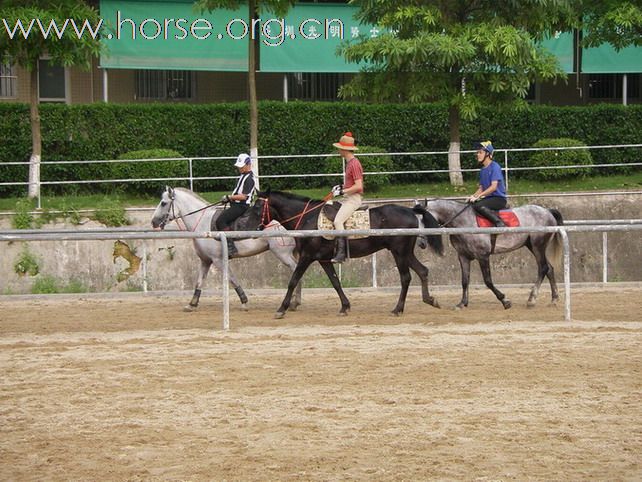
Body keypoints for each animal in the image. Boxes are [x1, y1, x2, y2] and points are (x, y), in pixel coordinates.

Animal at [151, 186, 302, 311]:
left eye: (163, 203)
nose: (153, 222)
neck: (202, 223)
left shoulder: (218, 260)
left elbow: (231, 278)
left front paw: (244, 301)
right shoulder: (205, 261)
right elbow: (199, 281)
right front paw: (192, 304)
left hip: (282, 253)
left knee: (296, 270)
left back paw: (294, 302)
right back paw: (295, 303)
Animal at [253, 190, 444, 318]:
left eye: (258, 206)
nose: (254, 229)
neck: (307, 219)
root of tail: (410, 211)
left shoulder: (307, 257)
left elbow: (293, 281)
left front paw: (281, 308)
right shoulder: (323, 259)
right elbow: (335, 282)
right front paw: (345, 306)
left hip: (399, 252)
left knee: (406, 278)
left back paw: (398, 309)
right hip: (405, 252)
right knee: (423, 270)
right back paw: (430, 299)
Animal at [412, 200, 563, 310]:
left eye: (424, 220)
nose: (421, 243)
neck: (463, 221)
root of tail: (547, 211)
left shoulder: (482, 256)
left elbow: (488, 281)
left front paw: (505, 300)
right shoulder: (463, 257)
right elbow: (464, 280)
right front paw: (462, 303)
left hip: (538, 246)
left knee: (543, 268)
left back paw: (532, 300)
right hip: (532, 246)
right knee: (549, 269)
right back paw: (554, 299)